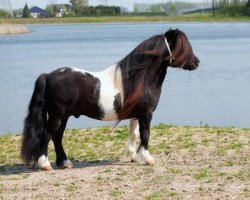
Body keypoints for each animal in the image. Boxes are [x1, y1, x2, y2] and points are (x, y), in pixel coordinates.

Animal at [21, 28, 199, 170]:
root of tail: (48, 76)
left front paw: (133, 157)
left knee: (57, 137)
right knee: (47, 135)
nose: (197, 62)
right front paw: (148, 159)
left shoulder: (137, 114)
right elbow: (145, 134)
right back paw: (45, 164)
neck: (139, 79)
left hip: (63, 116)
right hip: (57, 115)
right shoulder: (146, 114)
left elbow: (134, 134)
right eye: (184, 47)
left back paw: (65, 162)